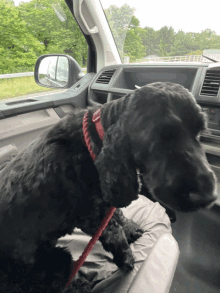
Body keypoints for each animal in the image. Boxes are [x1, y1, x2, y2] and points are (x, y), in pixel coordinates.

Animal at [0, 82, 217, 292]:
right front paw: (127, 260)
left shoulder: (105, 199)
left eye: (201, 131)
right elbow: (115, 235)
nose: (208, 196)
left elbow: (118, 215)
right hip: (52, 262)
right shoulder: (91, 215)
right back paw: (79, 285)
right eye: (160, 135)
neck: (95, 137)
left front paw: (131, 228)